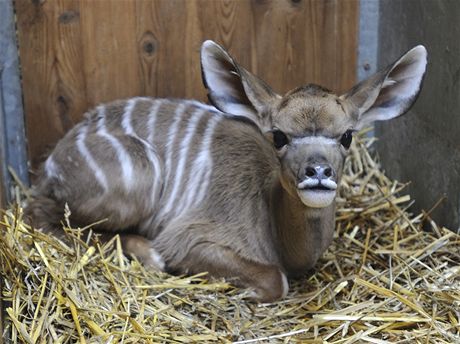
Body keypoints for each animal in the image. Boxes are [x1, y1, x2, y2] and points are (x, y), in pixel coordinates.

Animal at [27, 41, 426, 302]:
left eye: (346, 136)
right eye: (278, 136)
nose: (317, 171)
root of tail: (52, 163)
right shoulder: (188, 238)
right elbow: (275, 281)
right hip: (136, 179)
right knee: (45, 218)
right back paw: (148, 256)